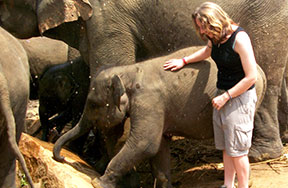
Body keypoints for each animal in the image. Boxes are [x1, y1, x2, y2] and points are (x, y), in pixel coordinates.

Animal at [1, 0, 286, 162]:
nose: (59, 157)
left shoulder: (106, 19)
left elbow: (108, 67)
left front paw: (98, 164)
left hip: (267, 20)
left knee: (266, 74)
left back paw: (260, 154)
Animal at [53, 46, 266, 188]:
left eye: (93, 104)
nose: (62, 158)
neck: (129, 71)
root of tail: (260, 71)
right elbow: (159, 145)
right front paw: (165, 186)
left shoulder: (149, 102)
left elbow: (145, 143)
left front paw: (98, 182)